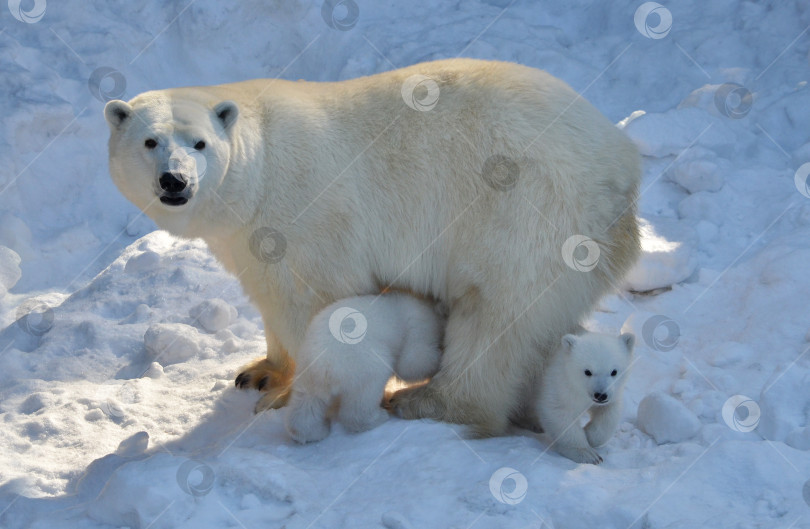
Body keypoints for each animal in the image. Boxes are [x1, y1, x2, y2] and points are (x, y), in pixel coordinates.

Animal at [284, 290, 442, 444]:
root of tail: (323, 366)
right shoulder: (417, 326)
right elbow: (412, 362)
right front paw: (438, 360)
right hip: (363, 362)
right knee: (363, 398)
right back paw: (378, 417)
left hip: (307, 373)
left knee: (307, 402)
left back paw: (313, 432)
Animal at [536, 332, 636, 464]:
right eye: (587, 371)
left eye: (614, 371)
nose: (600, 395)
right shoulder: (557, 385)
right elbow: (558, 412)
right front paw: (588, 454)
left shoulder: (611, 394)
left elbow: (609, 411)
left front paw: (589, 436)